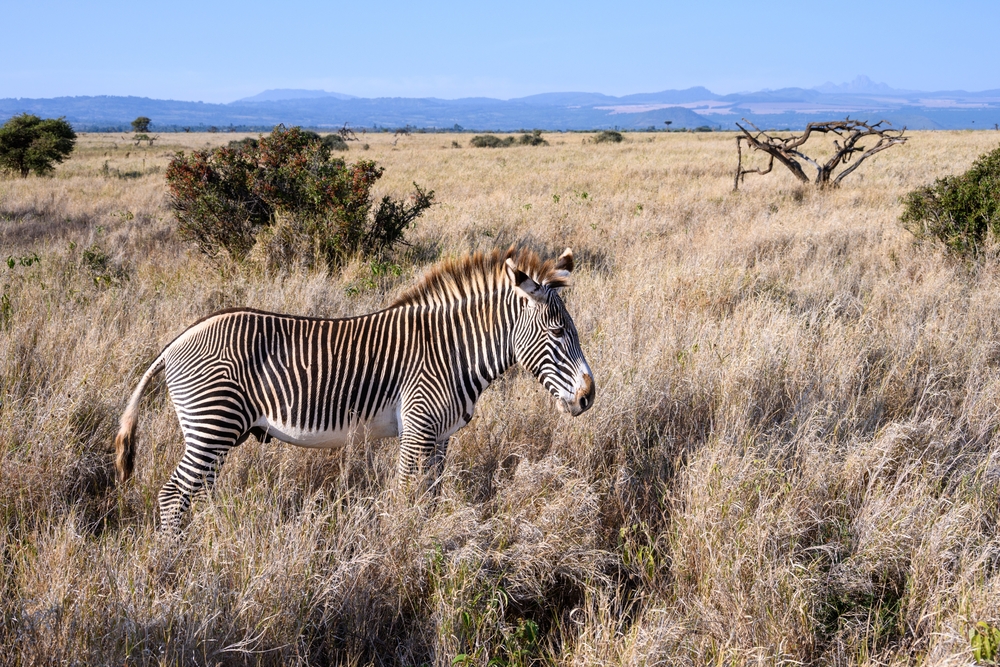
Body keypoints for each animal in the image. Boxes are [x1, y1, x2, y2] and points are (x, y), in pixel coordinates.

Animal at [115, 246, 596, 529]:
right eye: (557, 332)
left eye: (573, 330)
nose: (588, 397)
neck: (452, 351)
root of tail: (176, 341)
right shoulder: (417, 428)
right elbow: (404, 496)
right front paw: (403, 557)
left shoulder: (440, 438)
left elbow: (431, 498)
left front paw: (429, 541)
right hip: (211, 426)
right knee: (173, 496)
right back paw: (173, 562)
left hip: (215, 432)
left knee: (191, 494)